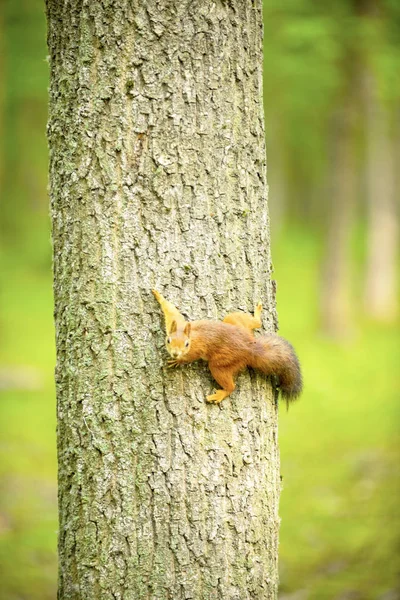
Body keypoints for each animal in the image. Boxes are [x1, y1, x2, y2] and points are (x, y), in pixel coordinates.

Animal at [153, 290, 304, 406]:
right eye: (168, 340)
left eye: (186, 344)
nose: (175, 354)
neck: (192, 336)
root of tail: (249, 348)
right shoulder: (177, 323)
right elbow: (171, 312)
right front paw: (158, 296)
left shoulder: (196, 350)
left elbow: (190, 357)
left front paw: (178, 361)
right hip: (235, 321)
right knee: (255, 323)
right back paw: (257, 314)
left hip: (222, 362)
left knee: (230, 385)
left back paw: (220, 394)